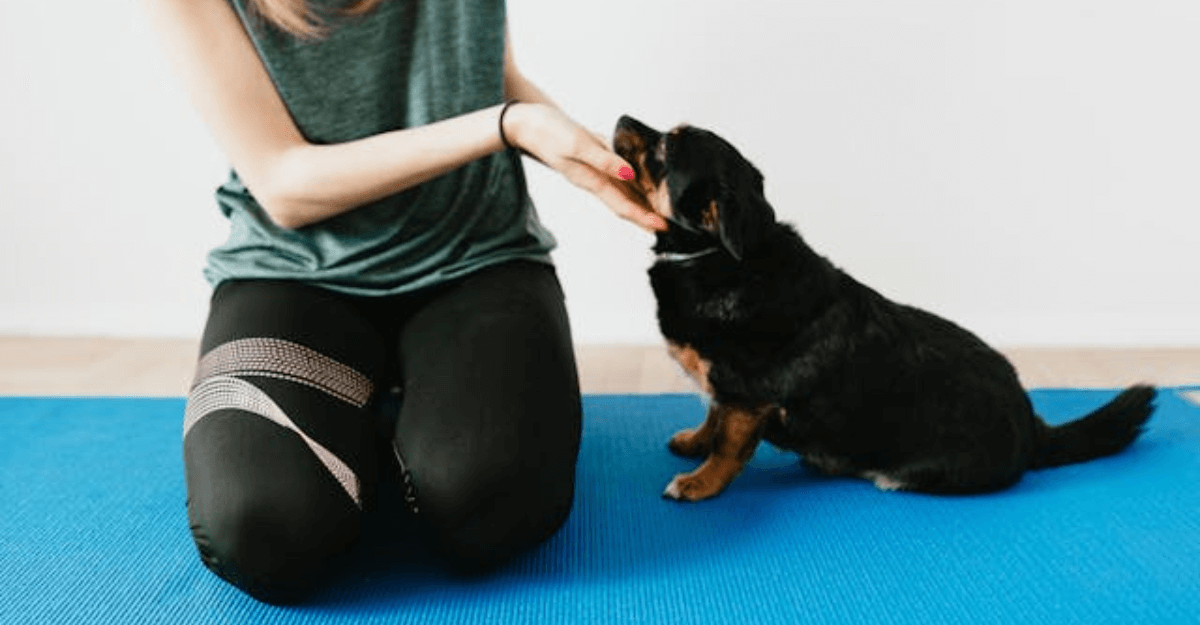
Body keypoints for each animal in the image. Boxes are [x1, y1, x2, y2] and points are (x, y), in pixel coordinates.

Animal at [614, 114, 1156, 499]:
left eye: (665, 148)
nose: (621, 116)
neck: (715, 255)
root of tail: (1034, 426)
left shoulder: (748, 399)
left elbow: (728, 445)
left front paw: (699, 482)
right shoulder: (724, 389)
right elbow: (711, 417)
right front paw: (694, 441)